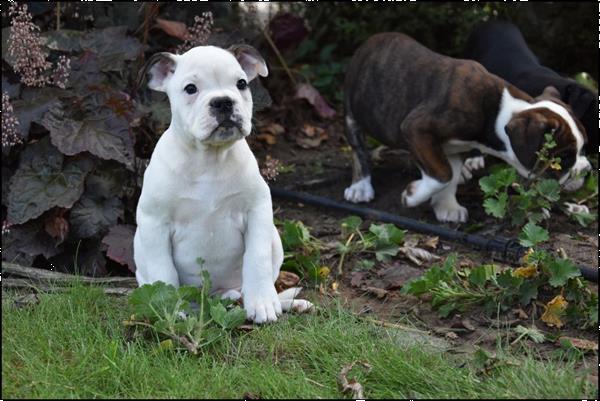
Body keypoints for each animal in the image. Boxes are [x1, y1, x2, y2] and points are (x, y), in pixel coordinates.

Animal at [135, 45, 312, 324]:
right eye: (190, 89)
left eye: (241, 84)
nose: (223, 102)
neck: (209, 159)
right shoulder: (154, 222)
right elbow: (164, 271)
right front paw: (172, 310)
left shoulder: (257, 210)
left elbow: (257, 258)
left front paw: (262, 303)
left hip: (274, 239)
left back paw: (285, 302)